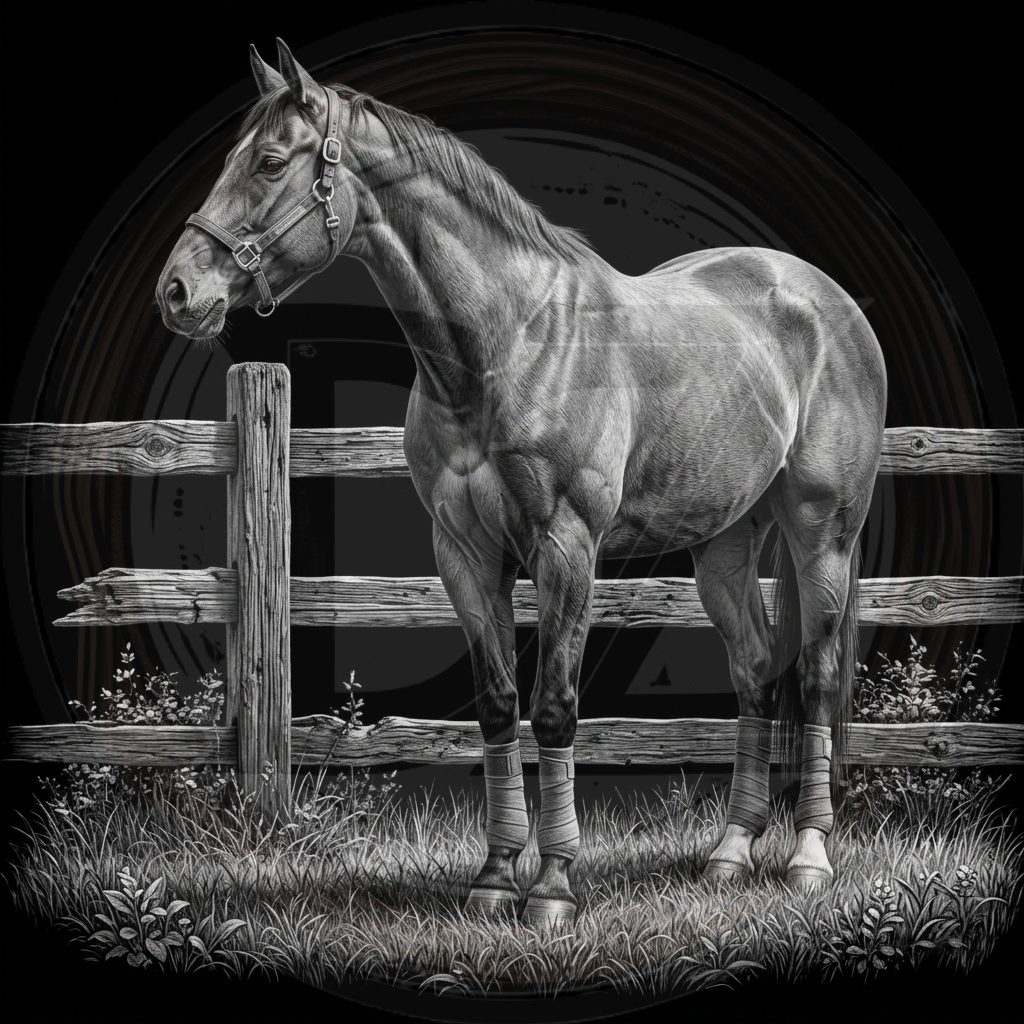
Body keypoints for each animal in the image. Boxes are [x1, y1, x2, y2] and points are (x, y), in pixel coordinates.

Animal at [157, 39, 887, 927]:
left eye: (268, 162)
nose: (178, 292)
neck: (509, 342)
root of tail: (824, 297)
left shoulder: (566, 548)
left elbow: (555, 710)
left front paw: (555, 888)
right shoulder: (465, 553)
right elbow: (500, 705)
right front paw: (497, 877)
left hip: (823, 535)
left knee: (815, 679)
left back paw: (809, 858)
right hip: (723, 545)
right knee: (754, 671)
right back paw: (729, 854)